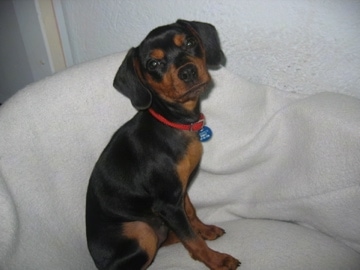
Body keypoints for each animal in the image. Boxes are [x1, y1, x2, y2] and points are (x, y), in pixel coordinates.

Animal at [86, 19, 240, 270]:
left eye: (190, 42)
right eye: (154, 63)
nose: (188, 71)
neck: (172, 122)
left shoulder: (180, 190)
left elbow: (191, 214)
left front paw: (205, 230)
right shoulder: (168, 203)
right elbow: (192, 239)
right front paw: (216, 260)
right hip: (142, 230)